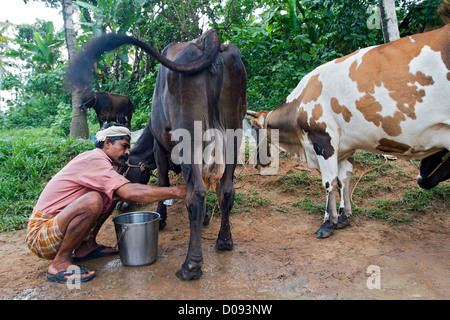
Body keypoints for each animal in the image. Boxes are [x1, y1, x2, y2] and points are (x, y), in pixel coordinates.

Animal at [68, 30, 248, 280]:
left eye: (123, 168)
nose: (119, 204)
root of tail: (209, 37)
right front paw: (204, 220)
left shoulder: (160, 151)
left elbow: (162, 182)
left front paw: (161, 217)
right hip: (234, 133)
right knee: (226, 191)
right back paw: (224, 241)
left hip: (190, 136)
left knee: (197, 195)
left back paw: (191, 266)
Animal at [250, 24, 450, 238]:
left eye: (256, 133)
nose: (256, 163)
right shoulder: (347, 147)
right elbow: (344, 180)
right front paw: (344, 216)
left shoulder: (324, 141)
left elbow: (330, 182)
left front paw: (328, 223)